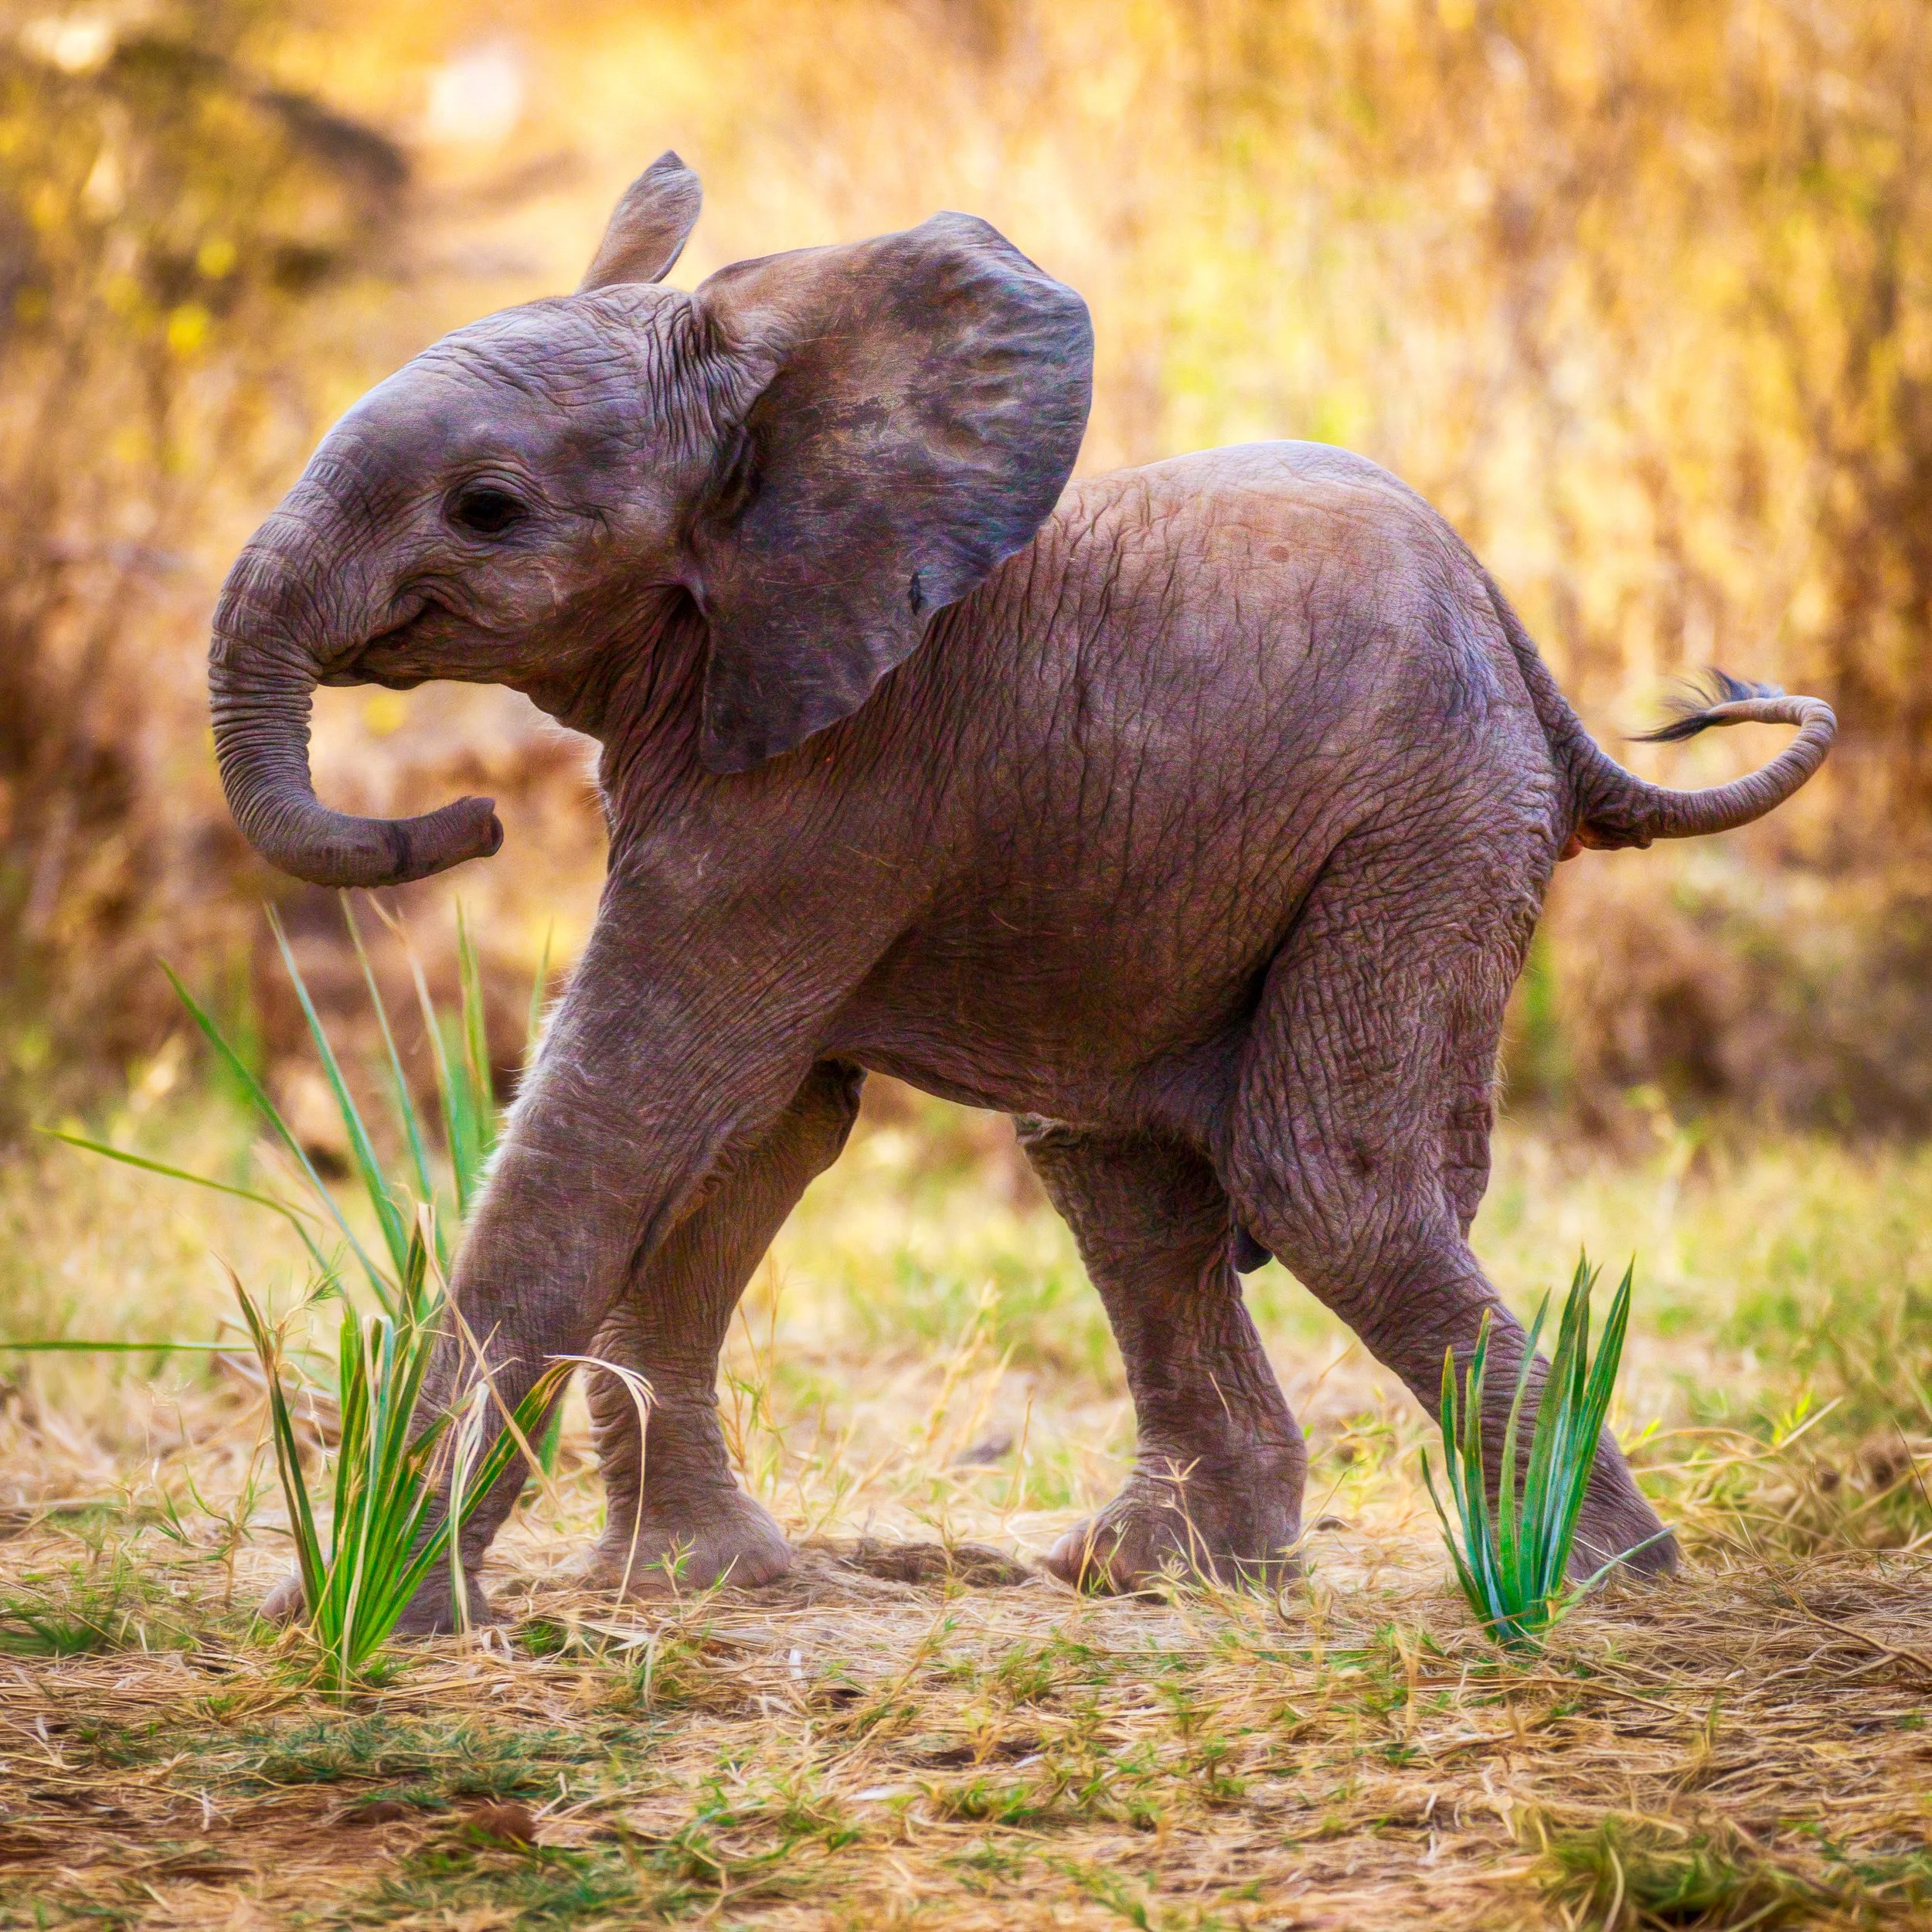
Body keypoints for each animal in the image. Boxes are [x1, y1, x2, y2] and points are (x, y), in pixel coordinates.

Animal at [210, 152, 1834, 1622]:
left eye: (486, 509)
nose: (470, 816)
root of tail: (1516, 635)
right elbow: (753, 1131)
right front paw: (686, 1582)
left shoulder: (834, 778)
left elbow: (626, 1115)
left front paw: (362, 1616)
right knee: (1122, 1171)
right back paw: (1162, 1571)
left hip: (1427, 827)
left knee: (1326, 1182)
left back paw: (1595, 1582)